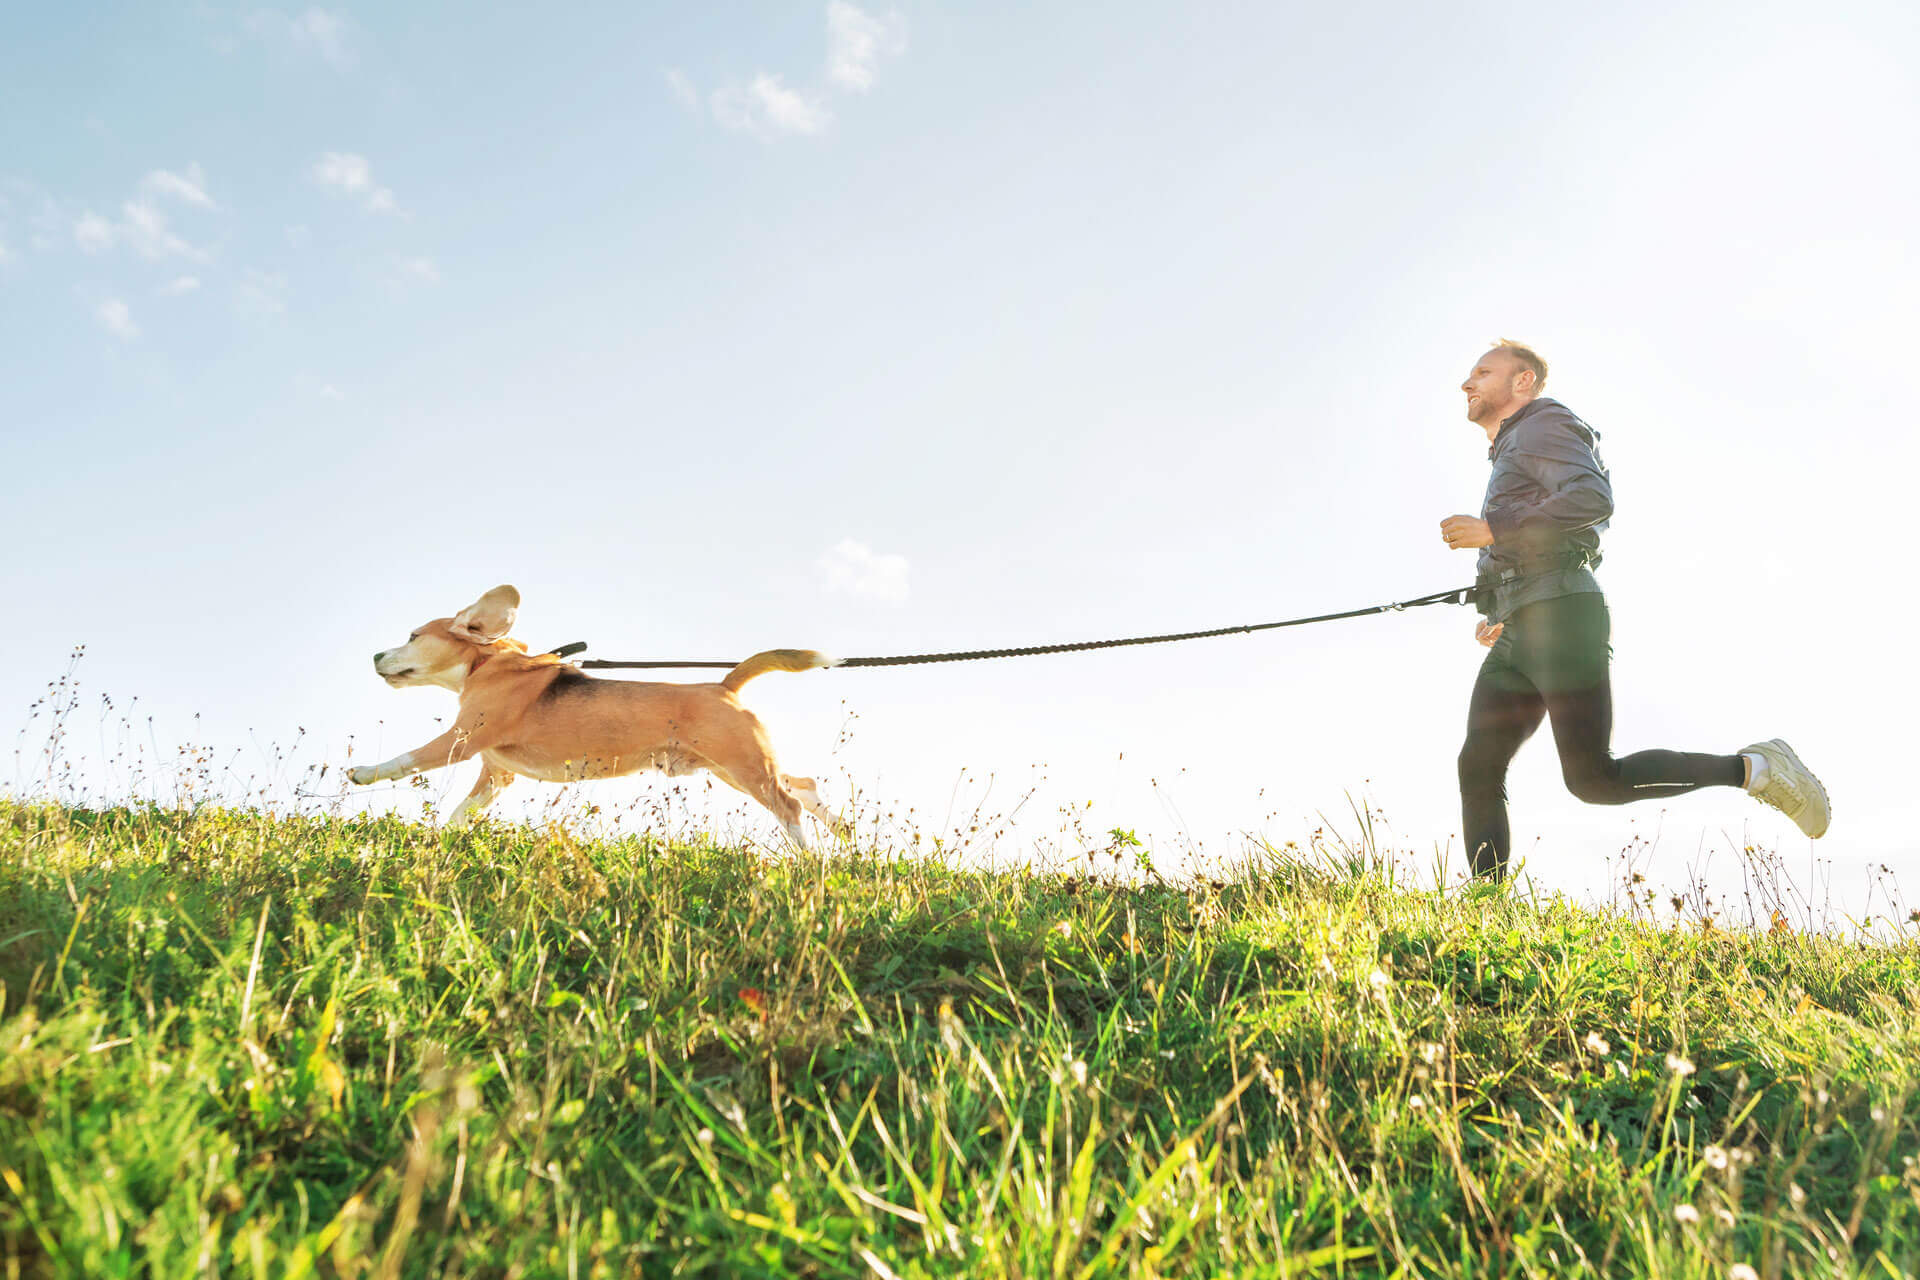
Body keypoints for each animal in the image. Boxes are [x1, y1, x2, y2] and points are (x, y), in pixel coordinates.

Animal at [349, 587, 844, 844]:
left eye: (413, 636)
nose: (374, 656)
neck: (487, 663)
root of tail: (725, 684)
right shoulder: (496, 773)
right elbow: (462, 811)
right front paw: (444, 839)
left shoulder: (461, 738)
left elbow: (406, 759)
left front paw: (363, 772)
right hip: (734, 768)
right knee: (802, 786)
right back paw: (841, 831)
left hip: (743, 765)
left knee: (789, 805)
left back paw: (809, 860)